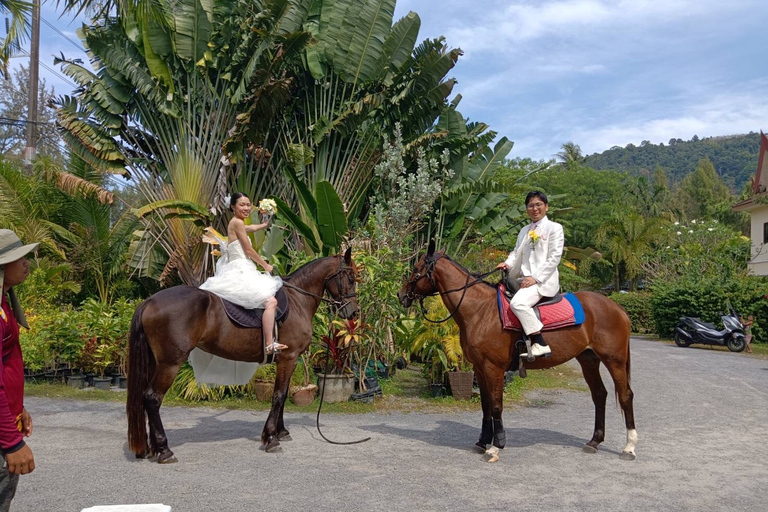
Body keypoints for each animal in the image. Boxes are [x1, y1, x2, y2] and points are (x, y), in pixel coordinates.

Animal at [127, 250, 358, 462]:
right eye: (351, 278)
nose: (354, 312)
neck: (297, 300)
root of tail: (150, 301)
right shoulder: (289, 358)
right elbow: (278, 395)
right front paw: (271, 438)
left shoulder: (288, 360)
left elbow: (283, 395)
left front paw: (281, 432)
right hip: (170, 364)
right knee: (152, 398)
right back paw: (164, 450)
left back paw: (153, 448)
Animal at [396, 242, 636, 462]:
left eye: (416, 269)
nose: (401, 294)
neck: (481, 310)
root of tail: (618, 308)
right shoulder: (479, 368)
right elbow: (485, 406)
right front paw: (483, 441)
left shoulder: (493, 368)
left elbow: (495, 405)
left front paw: (496, 446)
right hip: (588, 359)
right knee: (599, 394)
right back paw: (594, 441)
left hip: (614, 360)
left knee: (625, 395)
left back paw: (629, 447)